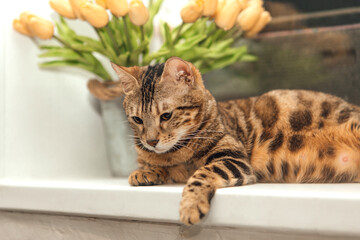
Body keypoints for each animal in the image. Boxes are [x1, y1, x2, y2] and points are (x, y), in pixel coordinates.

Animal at [110, 57, 360, 226]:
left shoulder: (234, 158)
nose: (151, 141)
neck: (177, 152)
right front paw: (146, 171)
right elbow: (155, 166)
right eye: (137, 119)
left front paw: (190, 205)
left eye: (166, 115)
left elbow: (200, 175)